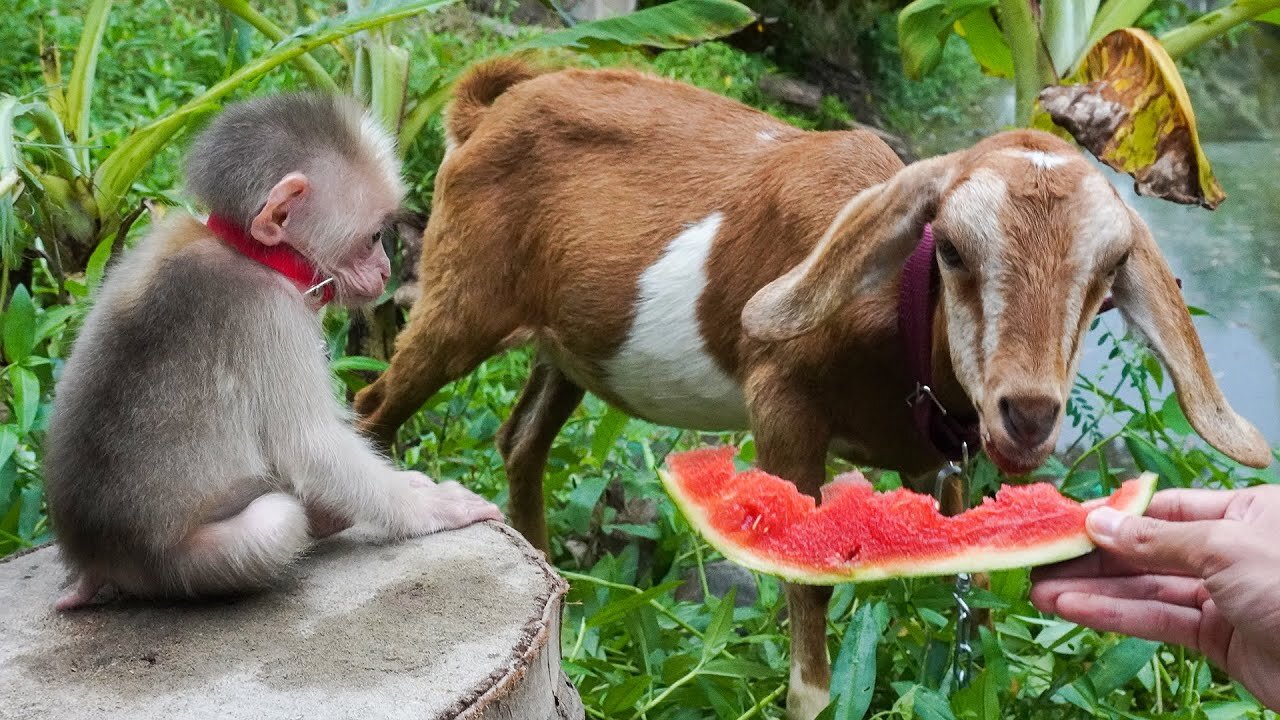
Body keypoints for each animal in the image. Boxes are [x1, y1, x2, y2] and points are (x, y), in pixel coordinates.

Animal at [43, 92, 499, 607]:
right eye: (372, 239)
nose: (385, 271)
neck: (246, 251)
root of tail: (93, 559)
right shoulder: (272, 315)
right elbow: (311, 445)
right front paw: (428, 506)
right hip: (171, 569)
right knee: (277, 521)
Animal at [353, 57, 1269, 717]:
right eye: (952, 249)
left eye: (1109, 276)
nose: (1029, 415)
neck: (895, 319)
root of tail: (487, 108)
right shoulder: (782, 404)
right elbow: (810, 624)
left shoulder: (944, 458)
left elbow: (955, 602)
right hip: (460, 297)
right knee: (374, 407)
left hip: (571, 349)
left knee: (523, 442)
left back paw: (561, 594)